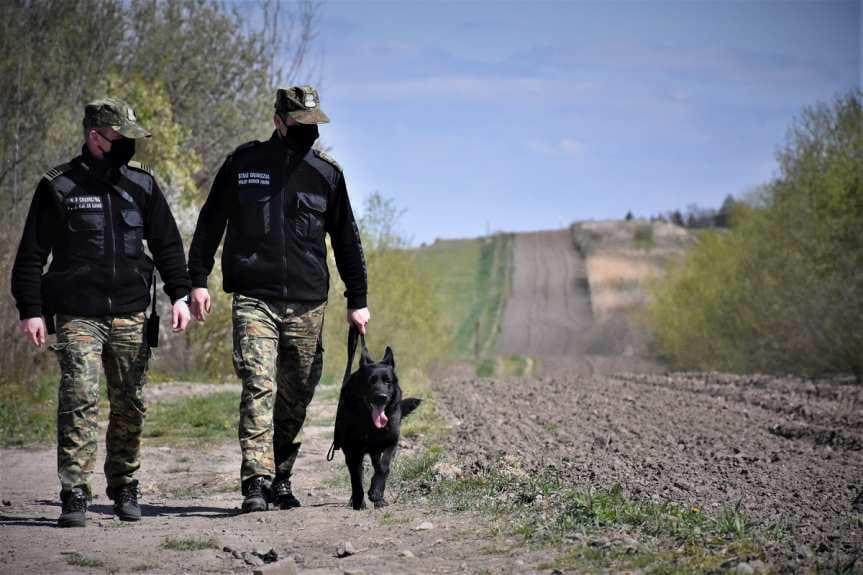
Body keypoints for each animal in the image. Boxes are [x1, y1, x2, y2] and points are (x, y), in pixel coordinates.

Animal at [330, 340, 422, 510]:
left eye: (387, 381)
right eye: (371, 381)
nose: (381, 397)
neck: (370, 424)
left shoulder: (391, 443)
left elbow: (383, 467)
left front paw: (376, 493)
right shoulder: (353, 450)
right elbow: (356, 477)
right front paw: (359, 501)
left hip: (375, 451)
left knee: (377, 465)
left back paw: (379, 498)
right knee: (357, 472)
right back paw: (356, 500)